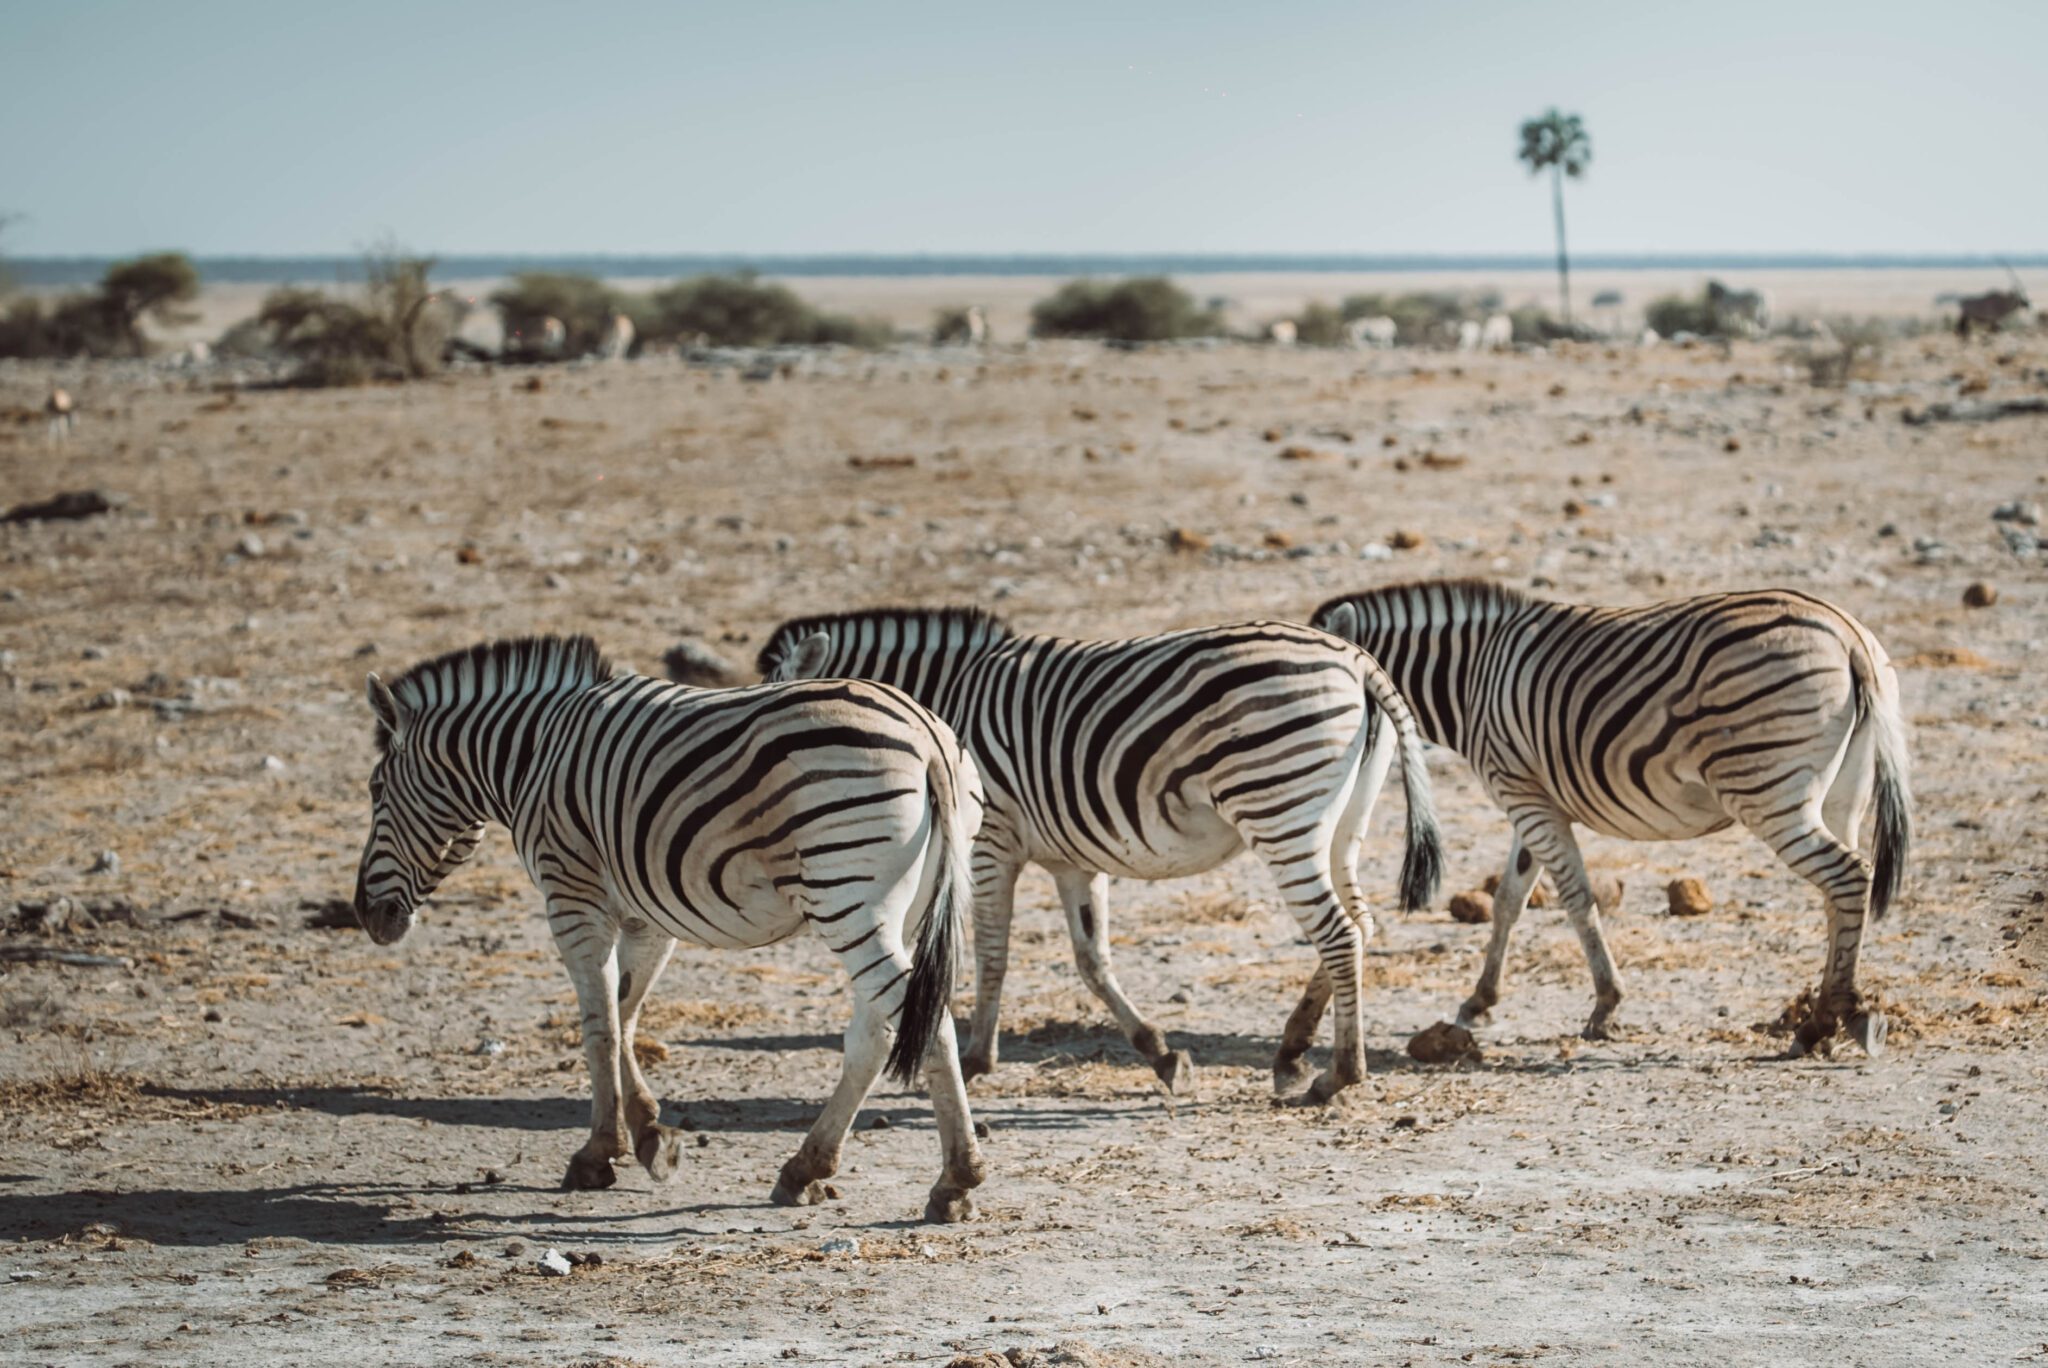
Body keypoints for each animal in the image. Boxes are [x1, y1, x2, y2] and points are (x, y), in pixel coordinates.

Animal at [352, 630, 991, 1220]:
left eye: (376, 789)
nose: (365, 915)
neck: (532, 754)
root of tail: (927, 739)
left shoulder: (572, 896)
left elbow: (599, 1025)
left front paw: (598, 1153)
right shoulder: (648, 914)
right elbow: (626, 1013)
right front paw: (649, 1136)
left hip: (848, 901)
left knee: (927, 1023)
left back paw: (955, 1180)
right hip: (898, 912)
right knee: (875, 1034)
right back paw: (805, 1168)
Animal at [729, 614, 1449, 1105]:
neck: (942, 700)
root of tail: (1354, 658)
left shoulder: (989, 838)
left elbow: (993, 951)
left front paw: (980, 1056)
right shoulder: (1072, 859)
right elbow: (1091, 958)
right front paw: (1159, 1053)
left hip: (1280, 808)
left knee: (1338, 933)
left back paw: (1338, 1075)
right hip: (1342, 824)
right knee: (1359, 926)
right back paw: (1295, 1052)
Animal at [1302, 581, 1908, 1056]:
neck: (1471, 678)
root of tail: (1847, 634)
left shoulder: (1520, 791)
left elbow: (1575, 898)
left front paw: (1605, 1006)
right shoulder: (1532, 796)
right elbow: (1509, 900)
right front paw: (1480, 1001)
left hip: (1767, 788)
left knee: (1847, 875)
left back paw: (1826, 1020)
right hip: (1843, 792)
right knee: (1841, 892)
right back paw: (1833, 1014)